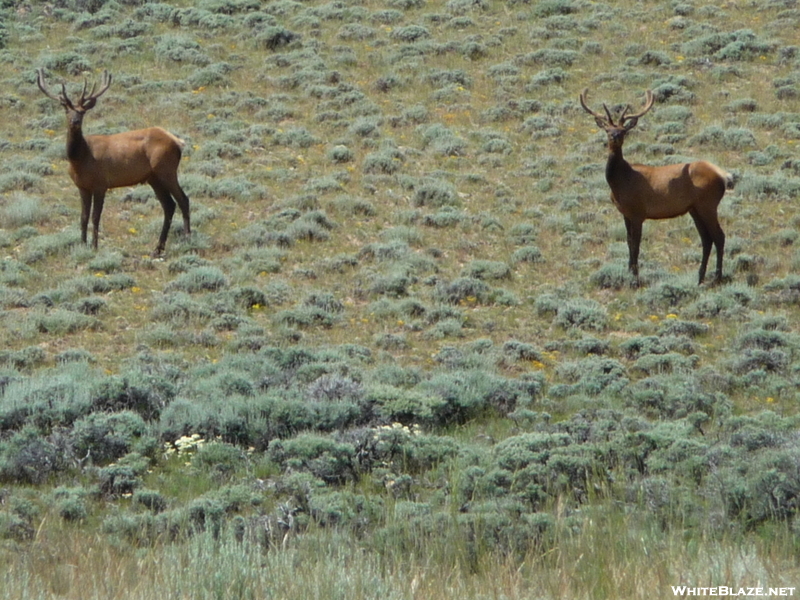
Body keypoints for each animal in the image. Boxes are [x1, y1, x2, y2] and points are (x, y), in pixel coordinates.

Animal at [37, 68, 191, 255]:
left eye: (82, 111)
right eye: (67, 111)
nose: (75, 121)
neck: (80, 160)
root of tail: (178, 142)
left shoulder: (101, 184)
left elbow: (95, 217)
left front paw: (94, 247)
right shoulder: (82, 187)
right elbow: (83, 217)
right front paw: (82, 245)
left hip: (166, 169)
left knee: (183, 200)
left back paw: (187, 240)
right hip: (153, 177)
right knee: (169, 205)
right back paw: (158, 248)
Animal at [580, 89, 736, 286]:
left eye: (623, 131)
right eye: (607, 129)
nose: (614, 137)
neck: (620, 183)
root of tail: (724, 175)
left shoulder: (638, 212)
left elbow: (636, 245)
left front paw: (635, 278)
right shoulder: (625, 213)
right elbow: (628, 242)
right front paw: (629, 273)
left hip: (708, 204)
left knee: (719, 236)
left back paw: (717, 277)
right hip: (694, 208)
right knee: (707, 239)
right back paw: (699, 277)